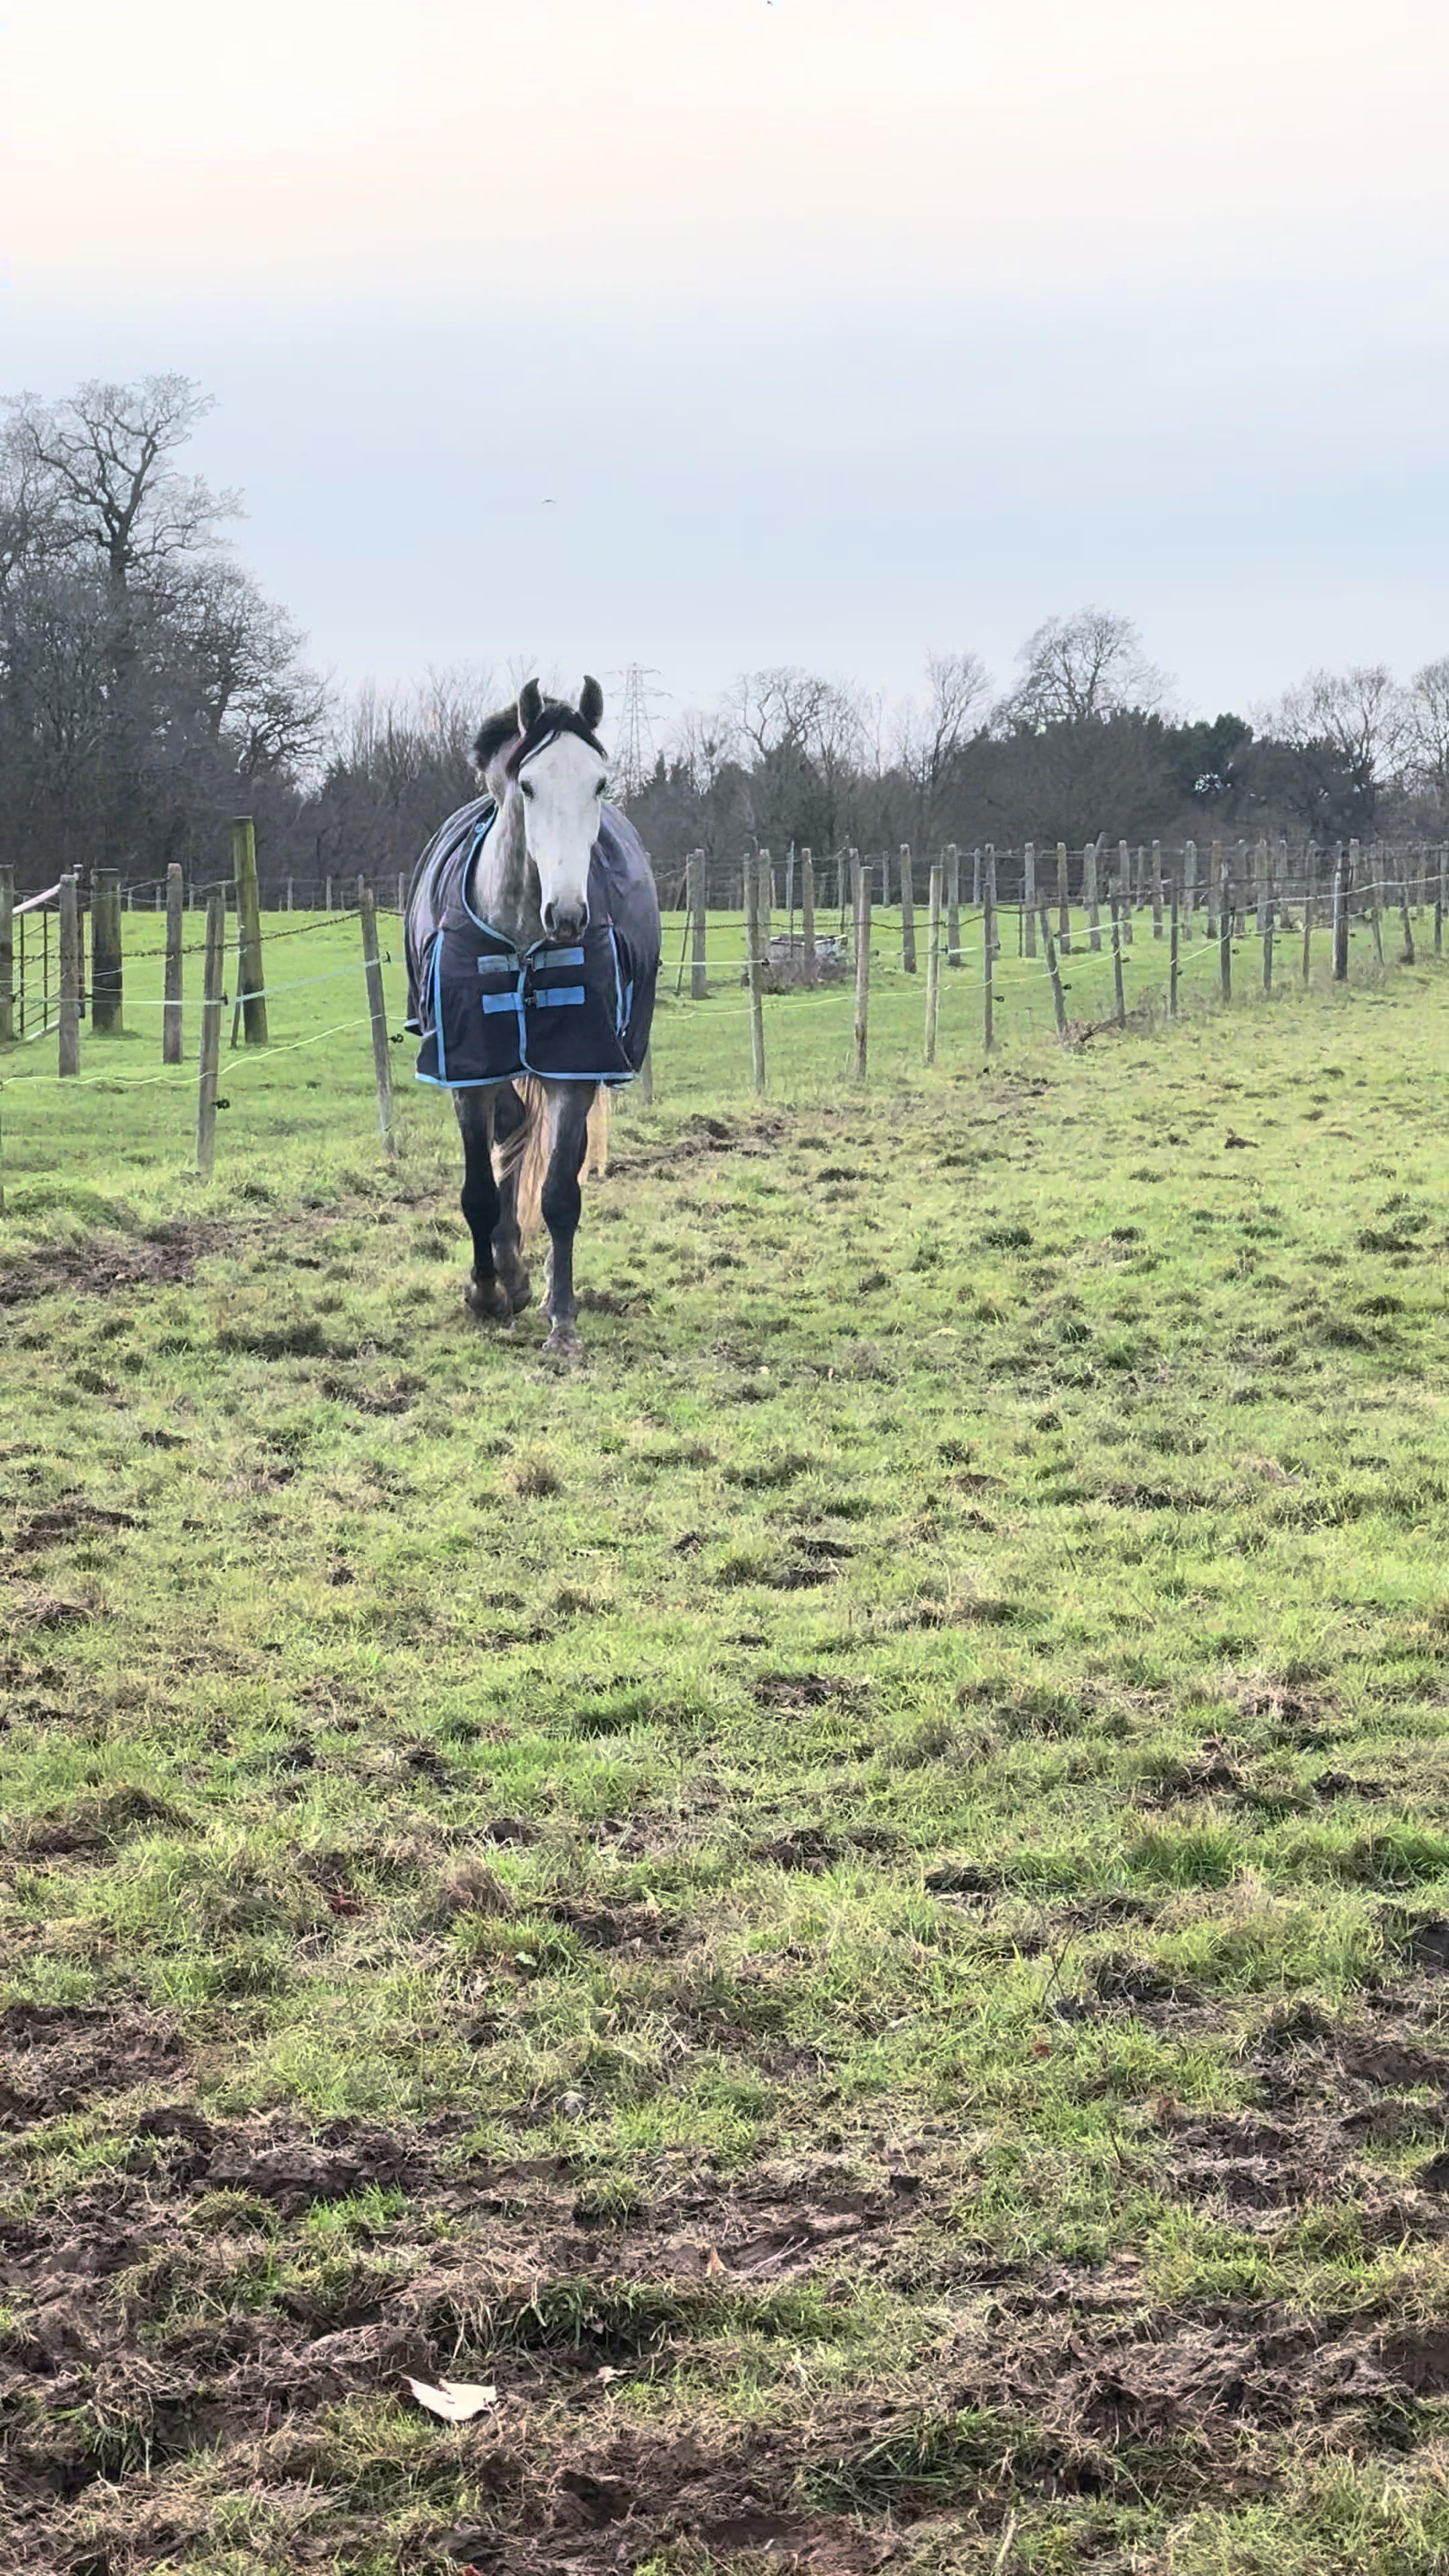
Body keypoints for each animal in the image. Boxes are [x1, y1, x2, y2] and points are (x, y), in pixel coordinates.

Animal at [404, 677, 660, 1359]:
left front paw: (562, 1319)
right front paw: (487, 1292)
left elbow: (560, 1195)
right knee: (510, 1138)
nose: (567, 915)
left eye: (599, 782)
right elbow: (478, 1191)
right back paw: (509, 1273)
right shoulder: (468, 1071)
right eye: (529, 786)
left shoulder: (574, 1067)